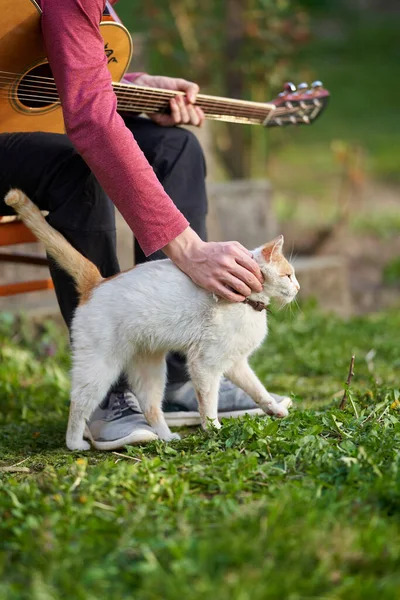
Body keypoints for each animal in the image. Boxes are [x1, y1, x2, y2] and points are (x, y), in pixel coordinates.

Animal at [5, 189, 300, 450]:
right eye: (288, 275)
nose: (297, 288)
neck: (247, 302)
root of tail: (97, 282)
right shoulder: (204, 365)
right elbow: (208, 404)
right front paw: (214, 429)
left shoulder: (236, 363)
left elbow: (257, 389)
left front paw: (274, 409)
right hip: (100, 367)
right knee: (78, 403)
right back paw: (75, 444)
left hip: (151, 370)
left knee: (151, 408)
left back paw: (166, 437)